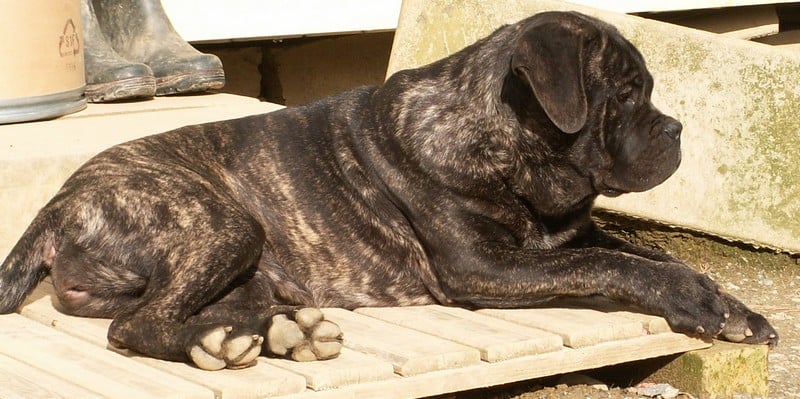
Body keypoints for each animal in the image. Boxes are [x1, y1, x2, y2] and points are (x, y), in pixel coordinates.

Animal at [0, 10, 776, 372]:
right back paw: (224, 345)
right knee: (136, 325)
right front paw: (697, 301)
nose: (677, 129)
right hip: (226, 223)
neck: (504, 138)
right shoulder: (485, 268)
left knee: (186, 308)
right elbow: (613, 263)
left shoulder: (569, 233)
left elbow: (654, 256)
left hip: (246, 266)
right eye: (627, 93)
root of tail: (59, 202)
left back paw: (278, 331)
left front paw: (726, 303)